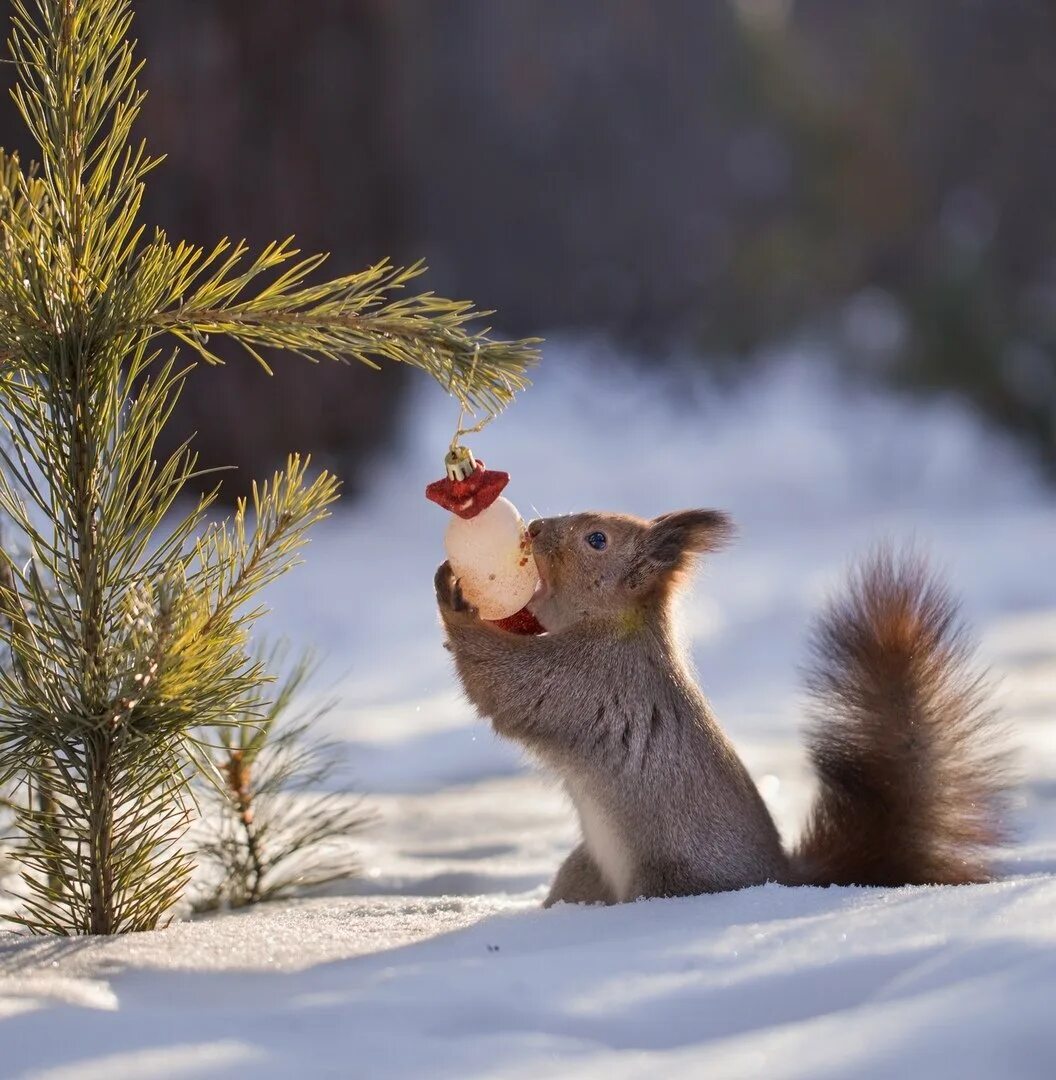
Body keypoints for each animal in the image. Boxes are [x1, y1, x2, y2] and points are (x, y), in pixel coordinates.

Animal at [431, 505, 1010, 902]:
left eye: (597, 539)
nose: (534, 528)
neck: (615, 626)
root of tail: (783, 881)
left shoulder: (586, 680)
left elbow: (506, 684)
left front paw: (455, 599)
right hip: (585, 870)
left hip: (665, 879)